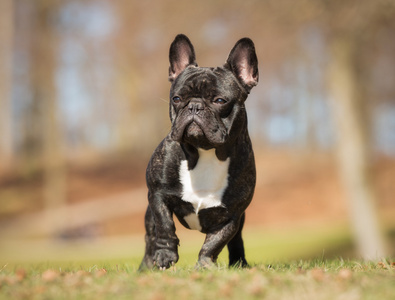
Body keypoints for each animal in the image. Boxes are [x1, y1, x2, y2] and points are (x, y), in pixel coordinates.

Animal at [140, 34, 260, 270]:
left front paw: (204, 265)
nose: (194, 106)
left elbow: (215, 242)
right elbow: (164, 225)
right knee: (150, 236)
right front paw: (165, 255)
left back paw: (239, 263)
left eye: (220, 101)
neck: (205, 152)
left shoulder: (232, 214)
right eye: (177, 99)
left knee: (236, 240)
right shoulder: (157, 195)